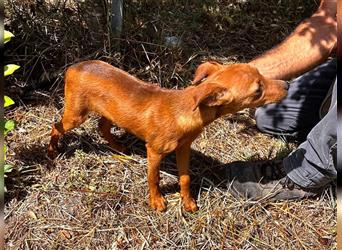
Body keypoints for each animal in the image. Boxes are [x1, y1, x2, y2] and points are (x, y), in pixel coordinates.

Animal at [47, 59, 288, 212]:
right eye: (257, 91)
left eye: (260, 73)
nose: (287, 85)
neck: (184, 111)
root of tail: (74, 67)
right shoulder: (154, 151)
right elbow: (153, 178)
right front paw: (157, 201)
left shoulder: (183, 149)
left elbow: (185, 178)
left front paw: (187, 202)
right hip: (76, 115)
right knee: (56, 125)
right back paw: (51, 151)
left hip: (110, 111)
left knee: (102, 127)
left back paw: (119, 147)